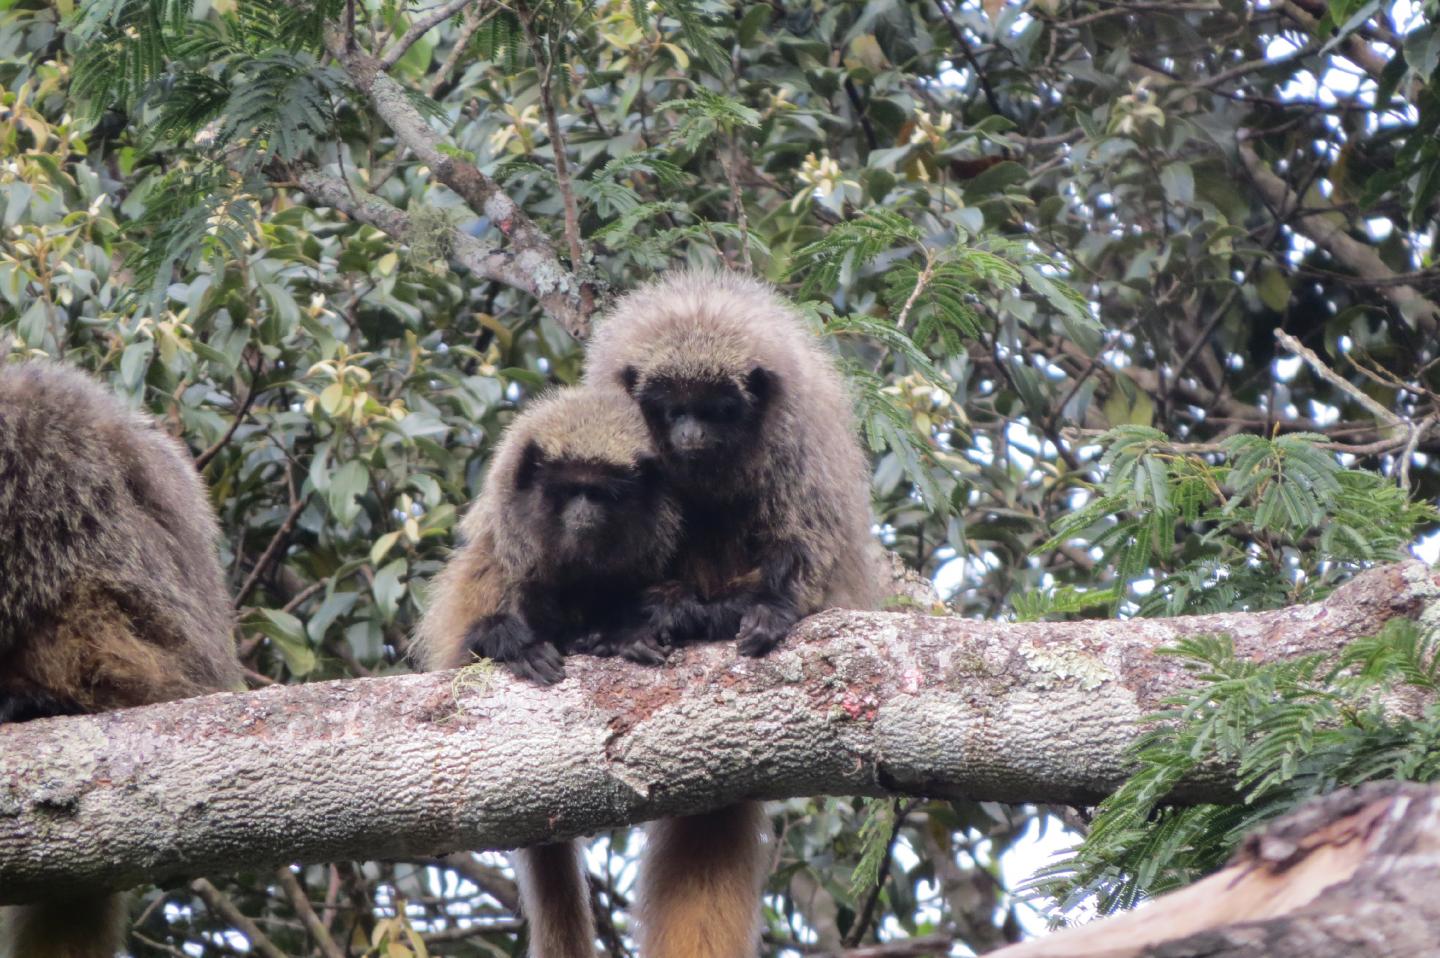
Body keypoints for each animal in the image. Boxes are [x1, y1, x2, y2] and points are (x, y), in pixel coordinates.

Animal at [581, 269, 875, 956]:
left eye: (713, 410)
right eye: (673, 410)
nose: (689, 435)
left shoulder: (796, 437)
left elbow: (805, 542)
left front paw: (764, 610)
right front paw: (642, 620)